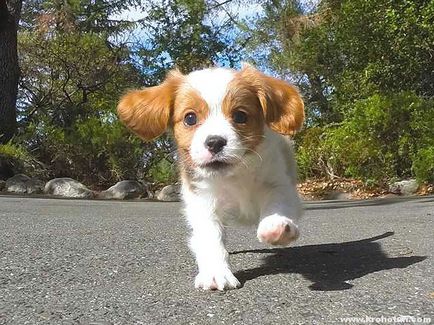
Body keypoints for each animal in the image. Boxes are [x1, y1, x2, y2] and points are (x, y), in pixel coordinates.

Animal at [117, 64, 304, 290]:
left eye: (240, 116)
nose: (215, 142)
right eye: (190, 118)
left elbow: (277, 202)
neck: (235, 174)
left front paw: (275, 226)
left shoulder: (278, 183)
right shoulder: (203, 200)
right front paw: (216, 272)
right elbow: (211, 238)